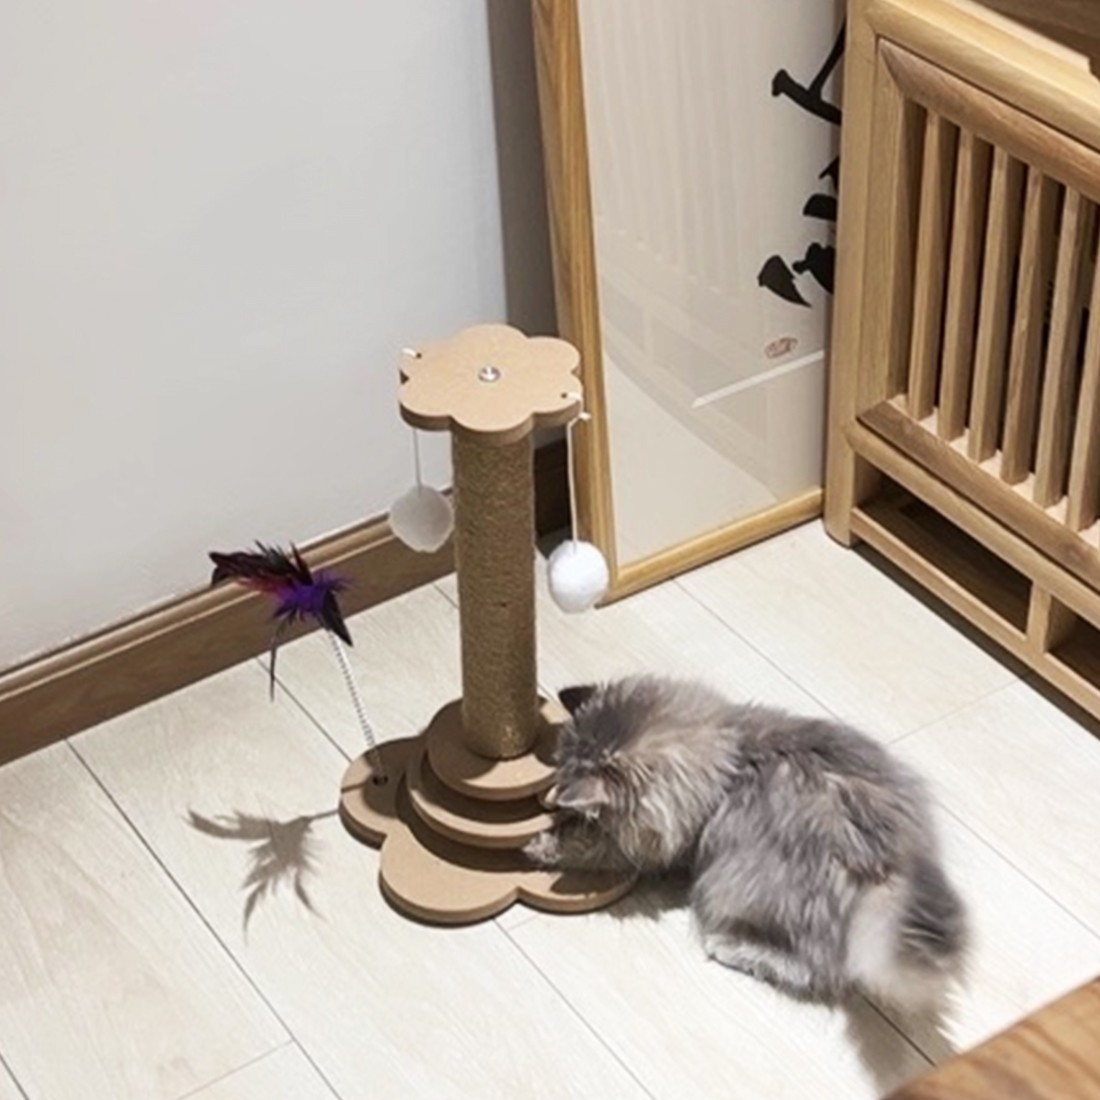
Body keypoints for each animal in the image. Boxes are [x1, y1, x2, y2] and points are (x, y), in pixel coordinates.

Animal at [524, 675, 967, 1009]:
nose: (557, 791)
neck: (730, 758)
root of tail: (890, 863)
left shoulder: (654, 847)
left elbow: (592, 847)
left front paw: (542, 841)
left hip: (735, 886)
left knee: (812, 970)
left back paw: (728, 948)